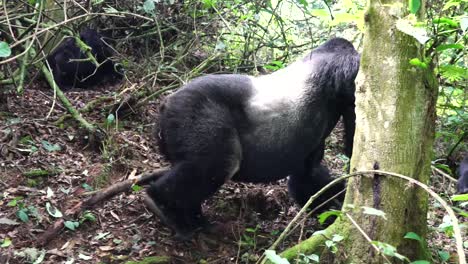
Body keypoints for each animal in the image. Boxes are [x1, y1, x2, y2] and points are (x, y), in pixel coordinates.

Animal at [148, 37, 360, 239]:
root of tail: (166, 104)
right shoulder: (350, 73)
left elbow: (308, 173)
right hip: (190, 111)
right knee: (220, 164)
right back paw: (161, 203)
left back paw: (192, 216)